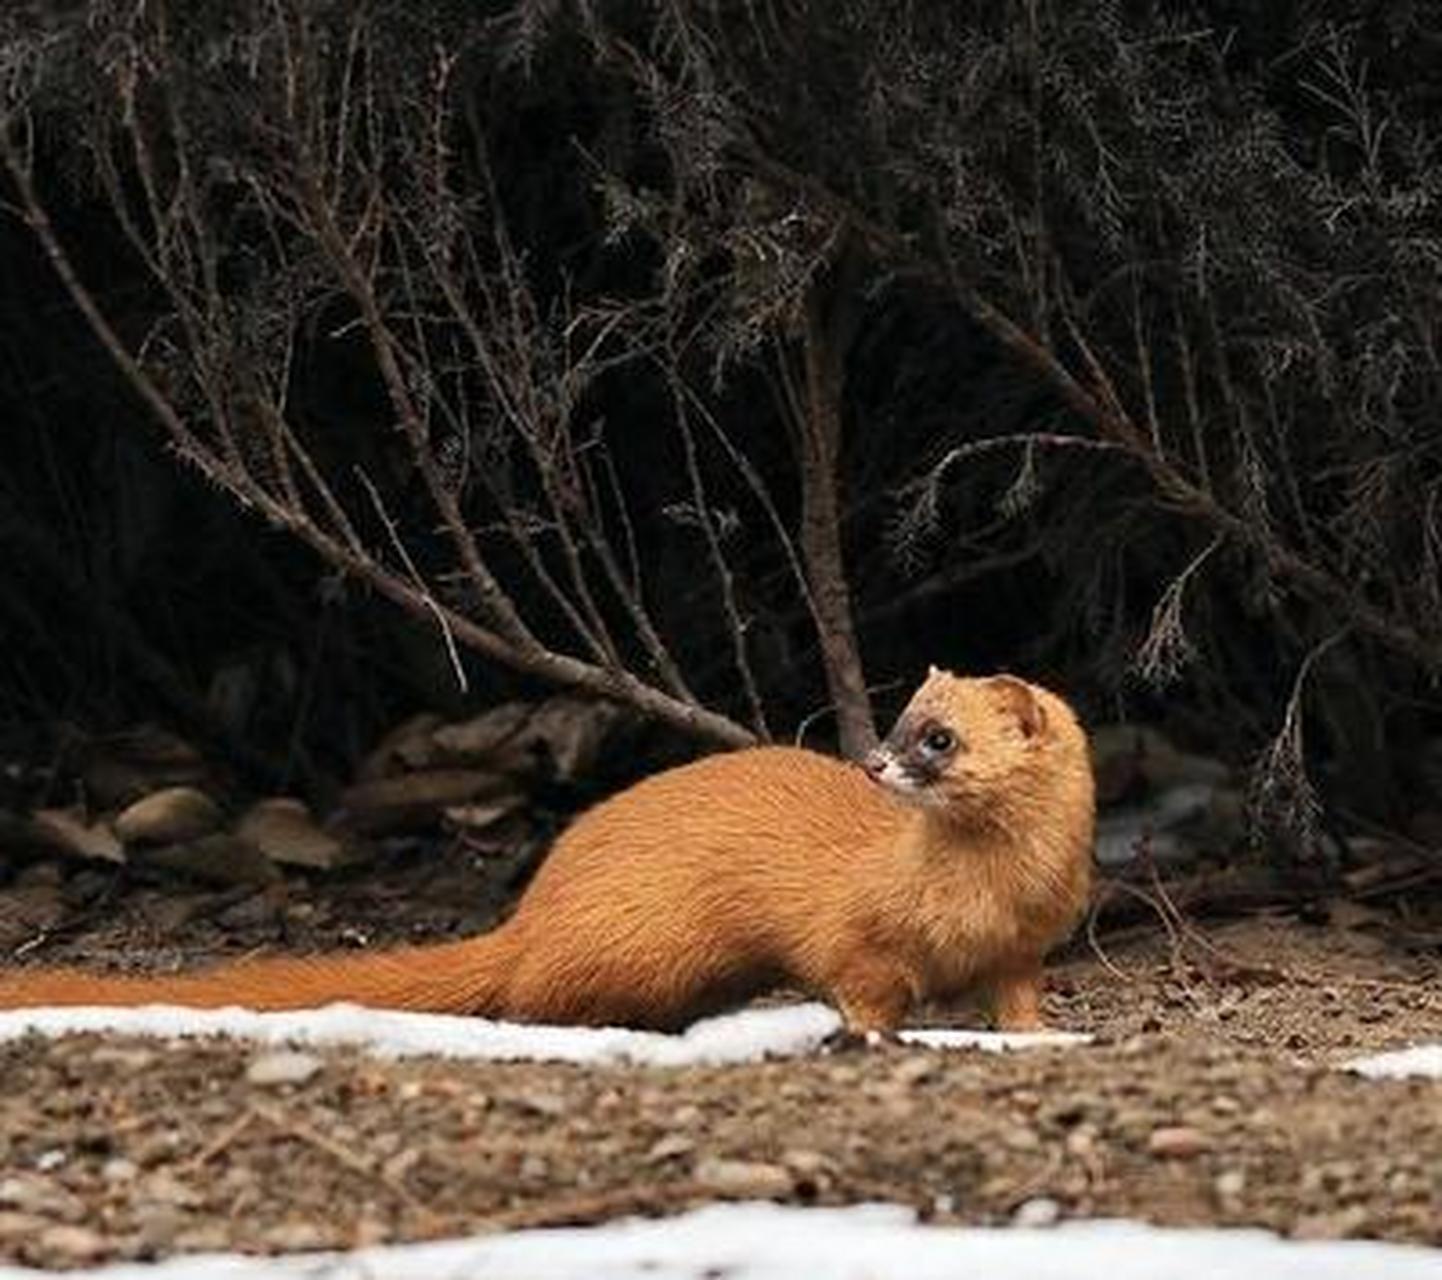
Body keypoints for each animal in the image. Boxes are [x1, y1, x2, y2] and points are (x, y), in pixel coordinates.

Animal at [0, 674, 1090, 1037]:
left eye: (935, 736)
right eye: (901, 719)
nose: (872, 759)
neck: (984, 895)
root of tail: (533, 909)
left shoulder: (1023, 945)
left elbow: (1015, 995)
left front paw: (1036, 1036)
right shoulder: (853, 932)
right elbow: (857, 979)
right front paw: (868, 1034)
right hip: (640, 939)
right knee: (533, 993)